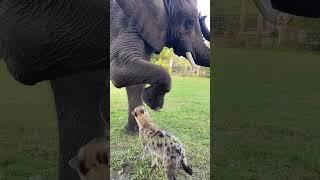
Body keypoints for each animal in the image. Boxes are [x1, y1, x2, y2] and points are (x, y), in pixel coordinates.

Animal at [110, 0, 210, 132]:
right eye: (190, 22)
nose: (203, 15)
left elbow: (135, 79)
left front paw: (133, 131)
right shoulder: (121, 21)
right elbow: (119, 70)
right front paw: (153, 102)